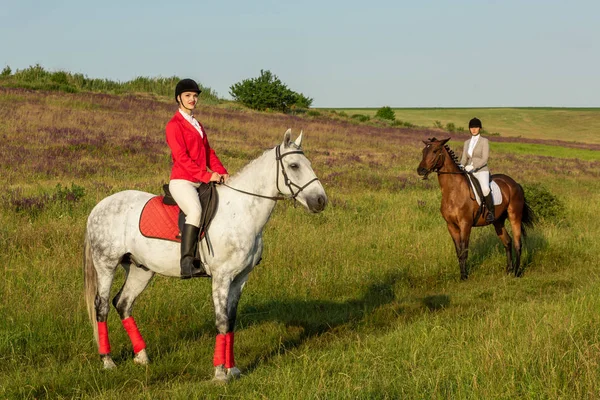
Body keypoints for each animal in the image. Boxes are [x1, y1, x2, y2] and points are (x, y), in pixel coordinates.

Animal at [83, 130, 328, 382]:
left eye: (309, 164)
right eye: (294, 165)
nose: (321, 201)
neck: (242, 210)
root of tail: (99, 206)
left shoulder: (240, 278)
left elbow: (230, 321)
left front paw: (233, 369)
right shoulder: (221, 277)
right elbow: (221, 322)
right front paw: (219, 373)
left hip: (141, 270)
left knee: (123, 303)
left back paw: (142, 356)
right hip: (106, 265)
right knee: (102, 306)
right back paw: (108, 361)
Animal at [418, 137, 536, 278]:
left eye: (435, 151)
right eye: (423, 151)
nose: (420, 170)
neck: (453, 191)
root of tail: (515, 183)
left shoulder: (465, 224)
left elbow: (464, 251)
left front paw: (464, 277)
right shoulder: (451, 226)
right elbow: (458, 252)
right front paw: (462, 274)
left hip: (514, 217)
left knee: (518, 243)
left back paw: (517, 272)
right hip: (497, 221)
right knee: (507, 241)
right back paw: (509, 270)